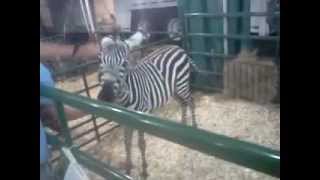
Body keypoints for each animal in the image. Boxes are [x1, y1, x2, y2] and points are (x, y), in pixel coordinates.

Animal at [97, 30, 196, 178]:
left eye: (125, 63)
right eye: (101, 62)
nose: (105, 97)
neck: (124, 98)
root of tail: (178, 47)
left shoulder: (141, 117)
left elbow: (141, 143)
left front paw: (144, 170)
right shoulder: (125, 119)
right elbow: (127, 143)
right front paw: (128, 167)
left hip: (182, 85)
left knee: (191, 101)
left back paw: (195, 126)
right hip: (172, 90)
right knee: (183, 103)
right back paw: (183, 125)